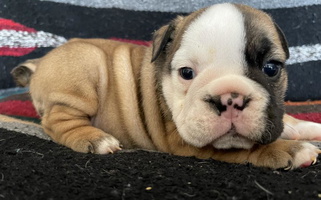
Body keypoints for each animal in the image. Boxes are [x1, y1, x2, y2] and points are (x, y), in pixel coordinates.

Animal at [11, 3, 320, 169]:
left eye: (271, 68)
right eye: (186, 73)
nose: (230, 98)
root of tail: (39, 64)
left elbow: (289, 121)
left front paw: (308, 127)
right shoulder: (182, 141)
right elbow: (240, 149)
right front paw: (289, 150)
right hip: (86, 69)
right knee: (58, 121)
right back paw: (96, 140)